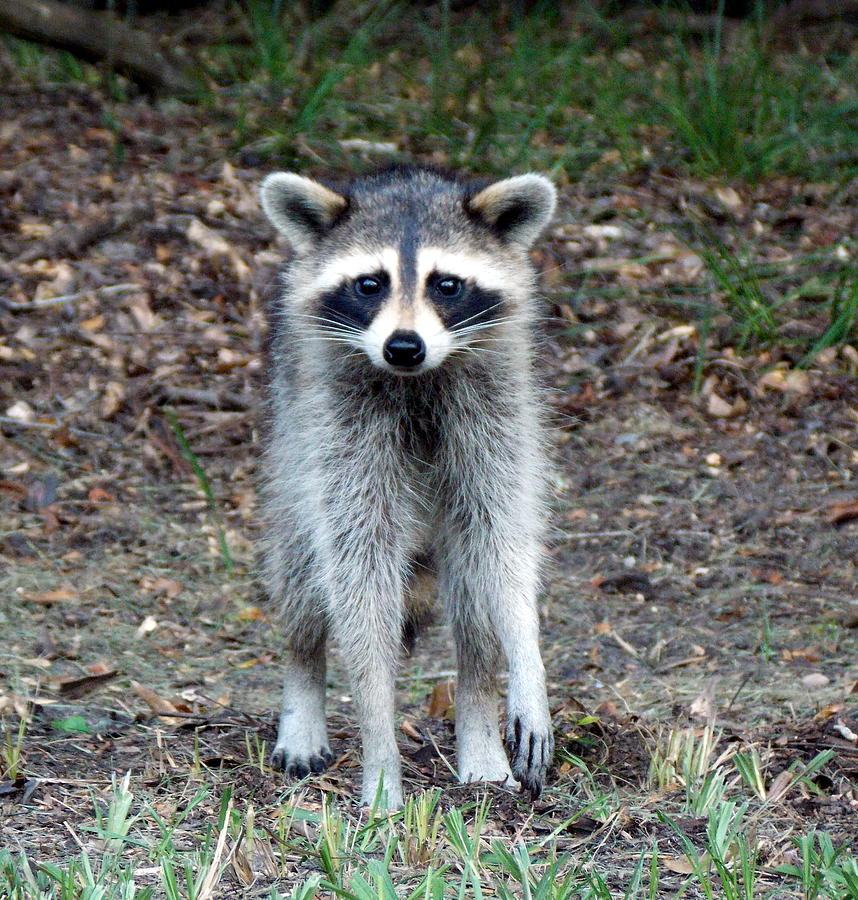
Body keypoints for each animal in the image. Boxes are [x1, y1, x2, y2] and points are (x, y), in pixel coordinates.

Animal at [258, 163, 560, 808]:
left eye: (447, 285)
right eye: (369, 284)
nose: (403, 346)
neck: (418, 379)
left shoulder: (496, 412)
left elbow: (504, 546)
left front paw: (526, 659)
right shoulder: (339, 428)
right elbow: (359, 583)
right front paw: (380, 750)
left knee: (472, 592)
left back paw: (478, 715)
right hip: (292, 455)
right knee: (301, 576)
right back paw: (303, 682)